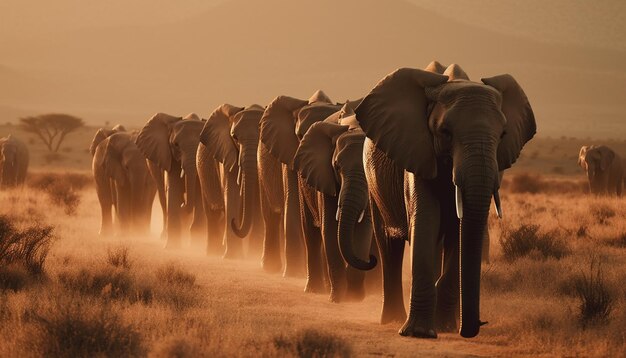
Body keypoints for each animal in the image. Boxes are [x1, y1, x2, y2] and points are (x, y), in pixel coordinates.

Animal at [135, 113, 206, 248]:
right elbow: (173, 189)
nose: (183, 205)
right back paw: (165, 235)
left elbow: (199, 193)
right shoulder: (169, 157)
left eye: (201, 146)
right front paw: (172, 247)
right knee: (163, 197)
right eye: (176, 145)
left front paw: (196, 244)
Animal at [197, 103, 264, 258]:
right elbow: (232, 193)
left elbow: (257, 200)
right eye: (235, 137)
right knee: (212, 214)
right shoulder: (227, 153)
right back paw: (213, 252)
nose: (234, 222)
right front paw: (233, 256)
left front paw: (253, 254)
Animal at [292, 103, 376, 302]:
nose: (371, 259)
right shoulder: (325, 177)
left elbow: (364, 231)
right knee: (311, 232)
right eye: (337, 167)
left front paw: (354, 299)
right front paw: (338, 299)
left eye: (368, 166)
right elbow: (329, 229)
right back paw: (314, 290)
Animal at [352, 62, 536, 338]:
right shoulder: (418, 152)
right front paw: (419, 332)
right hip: (374, 183)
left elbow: (459, 233)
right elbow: (426, 221)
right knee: (389, 245)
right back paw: (393, 320)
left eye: (503, 134)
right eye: (445, 132)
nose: (477, 325)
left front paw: (445, 327)